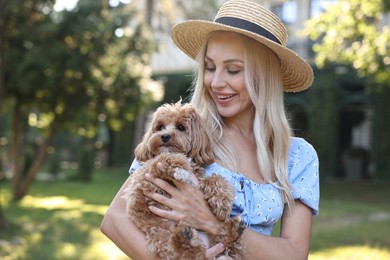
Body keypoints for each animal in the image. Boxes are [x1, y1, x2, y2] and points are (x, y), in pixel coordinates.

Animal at [122, 101, 244, 260]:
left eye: (181, 127)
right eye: (160, 127)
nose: (164, 136)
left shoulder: (199, 179)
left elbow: (215, 178)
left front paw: (222, 203)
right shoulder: (147, 173)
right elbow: (166, 158)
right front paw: (181, 170)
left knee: (224, 242)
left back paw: (235, 229)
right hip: (162, 236)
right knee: (187, 253)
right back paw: (186, 237)